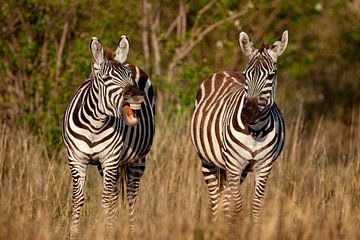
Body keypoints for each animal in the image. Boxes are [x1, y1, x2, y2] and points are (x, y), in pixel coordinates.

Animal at [62, 35, 155, 238]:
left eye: (129, 77)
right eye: (106, 79)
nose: (138, 95)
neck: (94, 126)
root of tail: (131, 62)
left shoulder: (110, 158)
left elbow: (106, 199)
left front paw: (108, 231)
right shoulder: (76, 159)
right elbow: (78, 198)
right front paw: (73, 234)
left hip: (138, 159)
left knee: (131, 195)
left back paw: (130, 231)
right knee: (116, 194)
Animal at [190, 30, 288, 223]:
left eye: (271, 76)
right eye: (246, 74)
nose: (249, 113)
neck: (256, 131)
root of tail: (223, 72)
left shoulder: (264, 167)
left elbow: (255, 206)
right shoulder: (234, 164)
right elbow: (236, 206)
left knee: (224, 198)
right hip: (207, 160)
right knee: (216, 199)